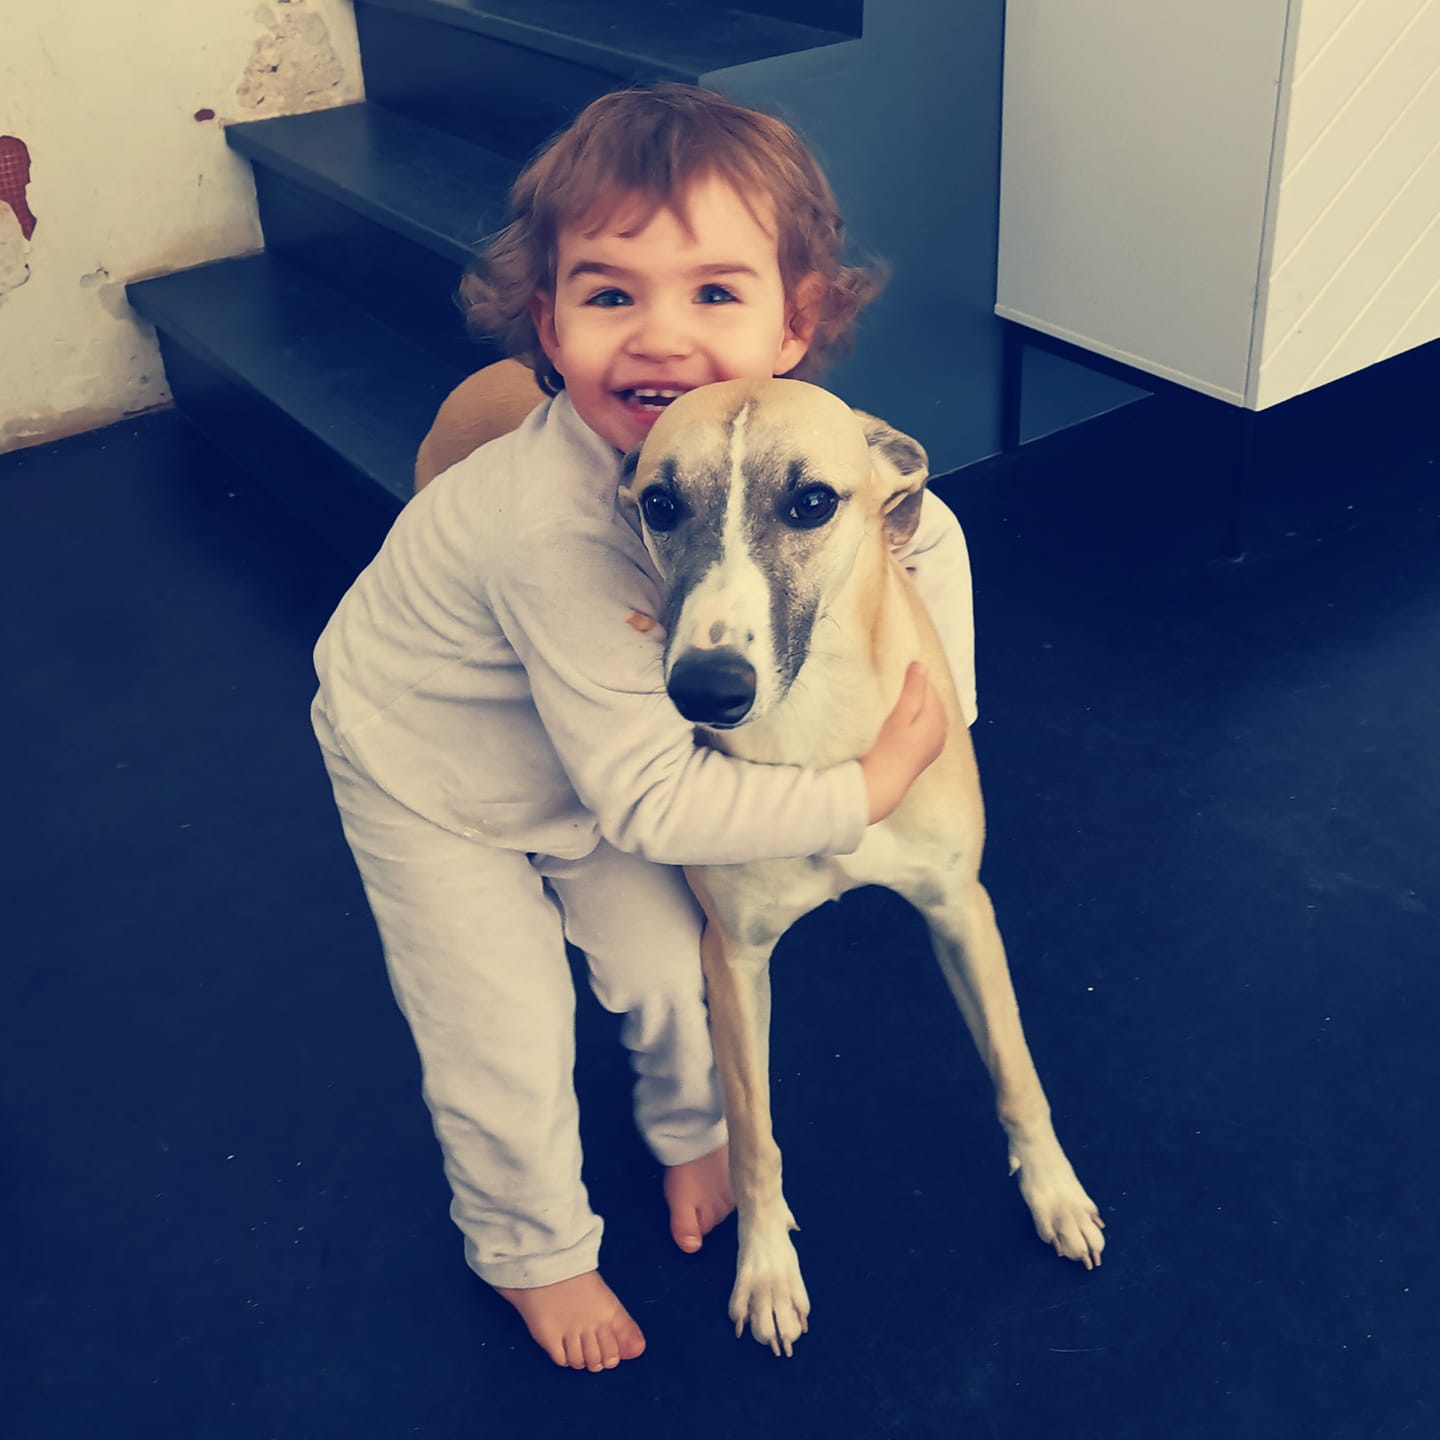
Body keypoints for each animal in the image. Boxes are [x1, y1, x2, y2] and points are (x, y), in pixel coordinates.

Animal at [620, 378, 1105, 1355]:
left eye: (812, 502)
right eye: (661, 504)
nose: (707, 691)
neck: (820, 741)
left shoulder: (962, 907)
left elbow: (1016, 1070)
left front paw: (1054, 1193)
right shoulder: (733, 958)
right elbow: (755, 1134)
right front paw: (766, 1268)